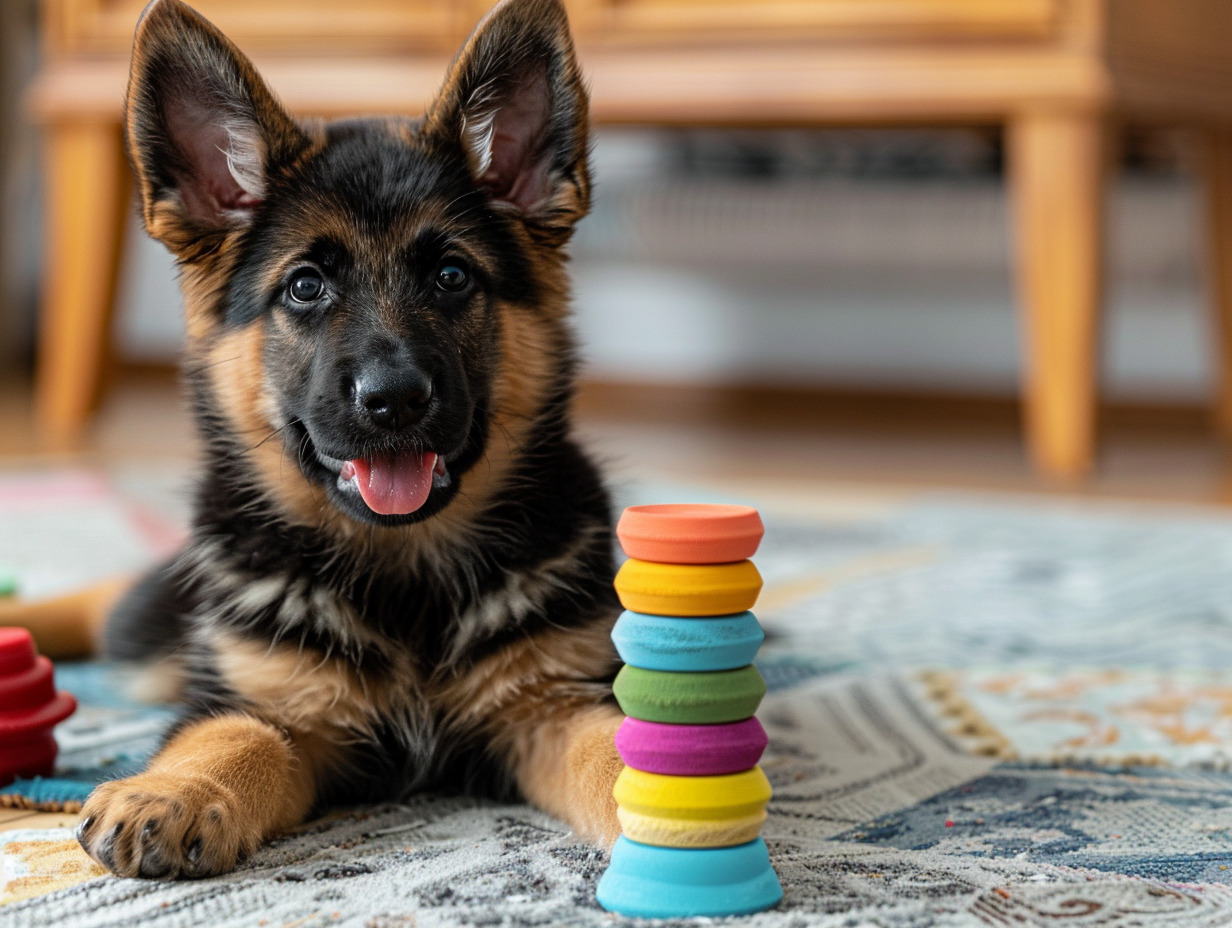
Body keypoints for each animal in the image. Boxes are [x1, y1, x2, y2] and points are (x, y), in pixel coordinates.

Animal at [46, 0, 625, 877]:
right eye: (305, 287)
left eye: (452, 277)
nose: (394, 401)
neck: (404, 573)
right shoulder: (269, 702)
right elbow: (231, 737)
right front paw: (172, 790)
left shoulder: (554, 702)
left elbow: (615, 747)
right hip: (151, 637)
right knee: (110, 598)